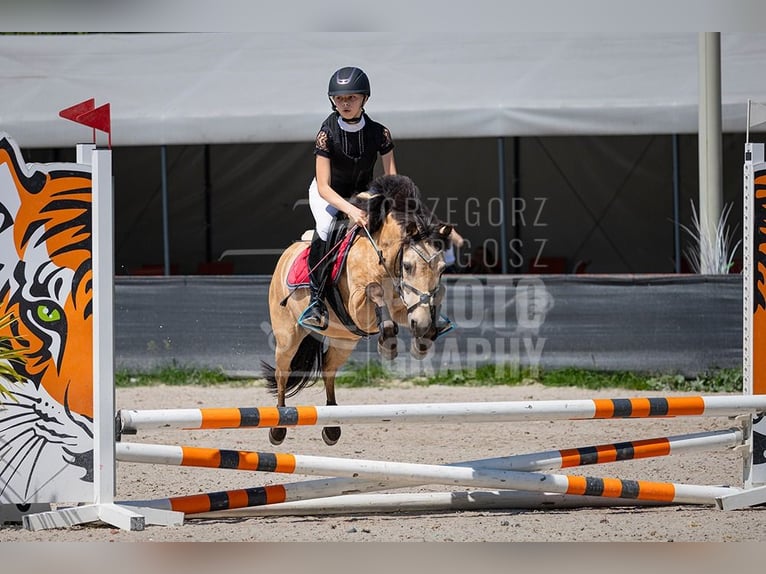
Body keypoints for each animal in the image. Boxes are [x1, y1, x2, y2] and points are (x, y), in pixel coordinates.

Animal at [264, 174, 452, 446]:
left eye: (442, 269)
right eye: (407, 266)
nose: (423, 325)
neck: (383, 259)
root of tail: (288, 253)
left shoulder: (405, 306)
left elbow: (415, 308)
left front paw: (423, 339)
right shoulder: (356, 304)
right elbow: (374, 293)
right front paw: (388, 341)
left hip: (343, 341)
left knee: (328, 370)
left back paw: (332, 426)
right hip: (288, 337)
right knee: (282, 372)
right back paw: (278, 426)